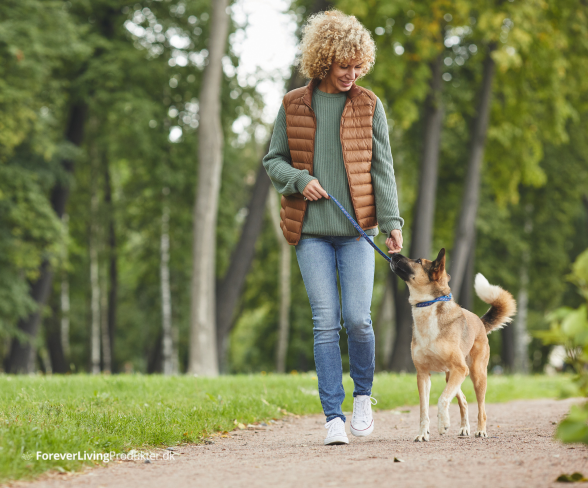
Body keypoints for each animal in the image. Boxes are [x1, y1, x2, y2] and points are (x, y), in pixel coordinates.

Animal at [392, 250, 516, 440]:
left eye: (418, 261)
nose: (394, 254)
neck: (428, 307)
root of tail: (480, 322)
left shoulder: (459, 369)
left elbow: (442, 399)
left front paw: (443, 424)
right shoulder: (423, 374)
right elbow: (423, 409)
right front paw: (423, 434)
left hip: (475, 374)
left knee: (481, 408)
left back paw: (481, 430)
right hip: (451, 375)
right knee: (463, 400)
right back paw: (464, 428)